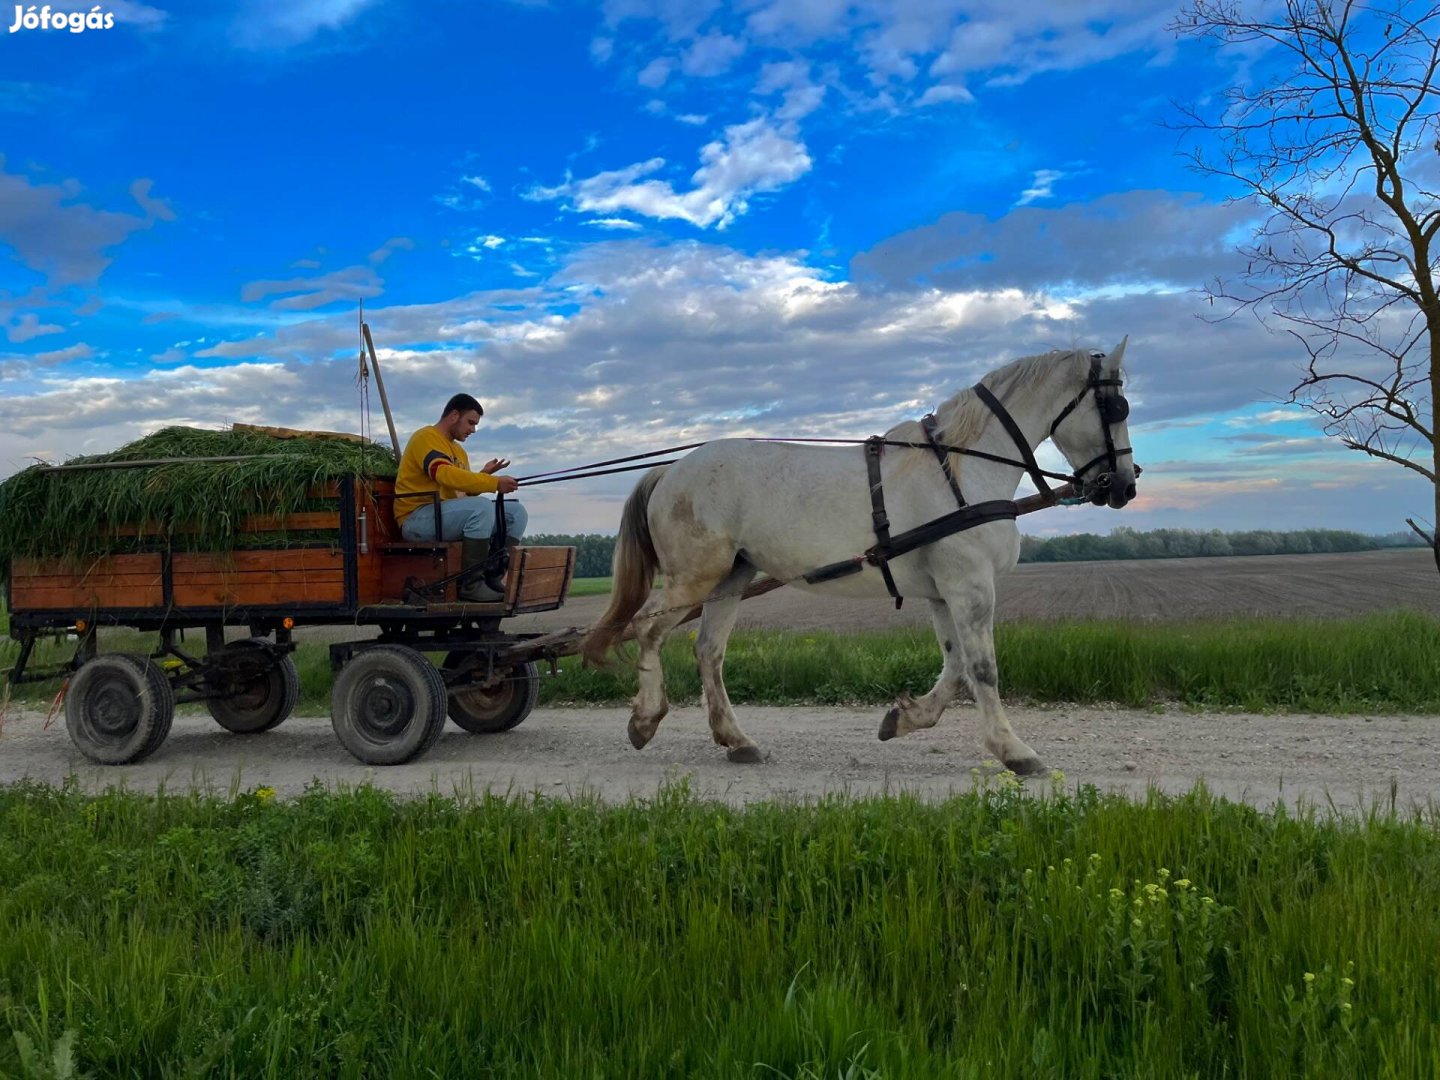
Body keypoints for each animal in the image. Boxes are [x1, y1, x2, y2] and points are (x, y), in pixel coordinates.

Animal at [581, 342, 1134, 771]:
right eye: (1118, 408)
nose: (1126, 486)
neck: (960, 467)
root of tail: (672, 469)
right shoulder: (971, 585)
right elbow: (983, 669)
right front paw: (1014, 750)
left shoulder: (945, 591)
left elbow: (955, 665)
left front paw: (904, 718)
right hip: (694, 576)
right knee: (648, 629)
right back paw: (645, 718)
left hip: (730, 578)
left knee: (708, 652)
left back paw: (737, 740)